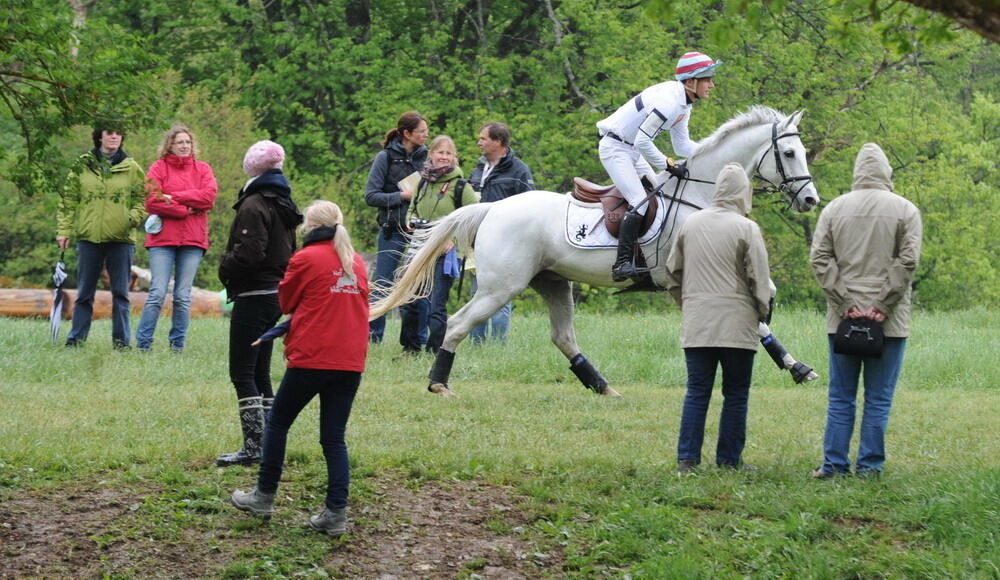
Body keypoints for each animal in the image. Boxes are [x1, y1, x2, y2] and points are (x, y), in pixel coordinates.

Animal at [374, 106, 820, 396]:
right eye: (790, 153)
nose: (811, 200)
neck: (699, 195)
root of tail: (492, 208)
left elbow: (763, 306)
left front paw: (797, 367)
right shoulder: (685, 280)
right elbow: (753, 319)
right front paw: (795, 366)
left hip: (553, 282)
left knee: (563, 337)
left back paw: (603, 386)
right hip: (501, 287)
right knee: (458, 323)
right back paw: (439, 383)